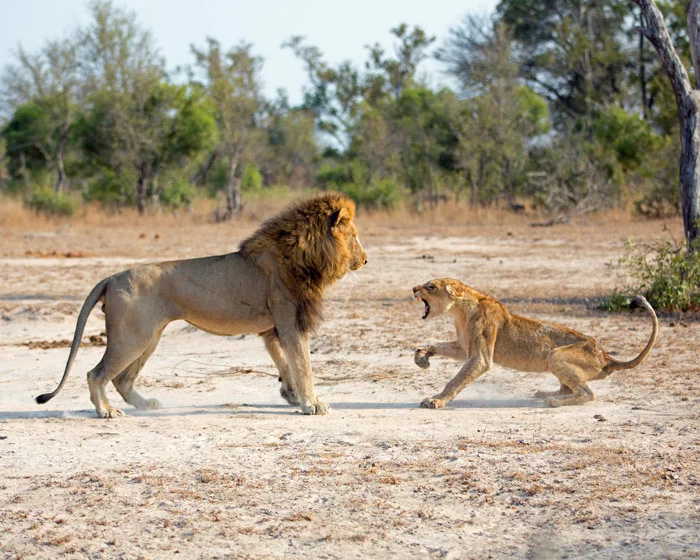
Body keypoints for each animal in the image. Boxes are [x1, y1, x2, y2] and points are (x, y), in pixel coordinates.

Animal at [36, 192, 370, 416]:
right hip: (131, 338)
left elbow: (285, 363)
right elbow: (303, 365)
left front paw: (290, 394)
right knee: (97, 374)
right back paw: (105, 410)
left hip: (148, 338)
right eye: (354, 237)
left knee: (122, 380)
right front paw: (312, 403)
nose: (366, 260)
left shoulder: (273, 329)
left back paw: (148, 404)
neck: (305, 256)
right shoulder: (290, 323)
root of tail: (111, 277)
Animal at [410, 278, 656, 406]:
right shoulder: (464, 347)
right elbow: (438, 345)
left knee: (588, 393)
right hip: (556, 359)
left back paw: (553, 402)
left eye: (430, 286)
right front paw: (422, 356)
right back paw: (546, 394)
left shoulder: (480, 357)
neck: (459, 310)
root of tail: (606, 356)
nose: (413, 288)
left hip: (556, 354)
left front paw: (435, 401)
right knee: (568, 388)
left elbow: (456, 380)